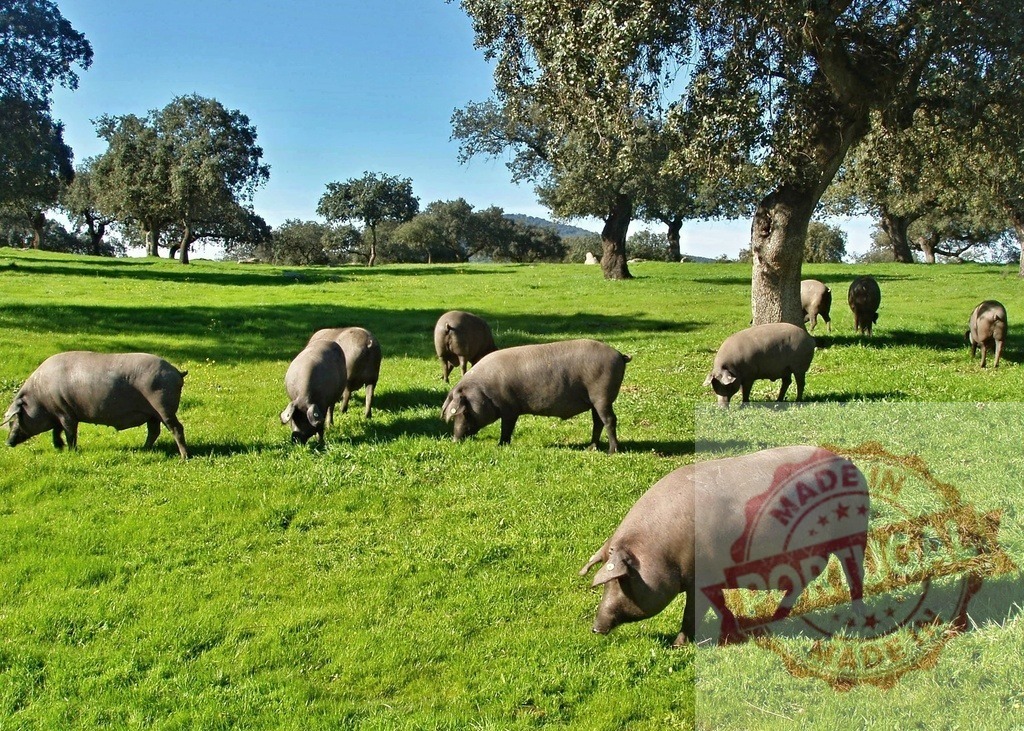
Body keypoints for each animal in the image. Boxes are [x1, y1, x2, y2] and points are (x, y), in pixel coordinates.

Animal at [3, 351, 188, 459]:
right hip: (152, 413)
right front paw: (59, 447)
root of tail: (176, 371)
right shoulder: (58, 413)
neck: (40, 398)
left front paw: (71, 451)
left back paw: (184, 457)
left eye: (15, 419)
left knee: (177, 428)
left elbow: (69, 432)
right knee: (154, 431)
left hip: (163, 406)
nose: (7, 443)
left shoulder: (66, 412)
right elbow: (57, 431)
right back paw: (143, 450)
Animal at [441, 339, 630, 454]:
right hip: (595, 401)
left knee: (609, 420)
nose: (455, 440)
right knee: (598, 422)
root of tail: (619, 355)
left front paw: (500, 446)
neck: (486, 391)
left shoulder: (510, 408)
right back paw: (591, 448)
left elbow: (506, 429)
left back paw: (612, 451)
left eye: (465, 412)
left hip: (602, 396)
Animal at [581, 446, 869, 646]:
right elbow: (714, 606)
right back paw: (771, 622)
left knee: (855, 575)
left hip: (854, 535)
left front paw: (678, 645)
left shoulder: (703, 577)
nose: (595, 628)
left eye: (622, 580)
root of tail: (849, 463)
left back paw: (857, 621)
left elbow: (696, 612)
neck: (661, 552)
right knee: (800, 584)